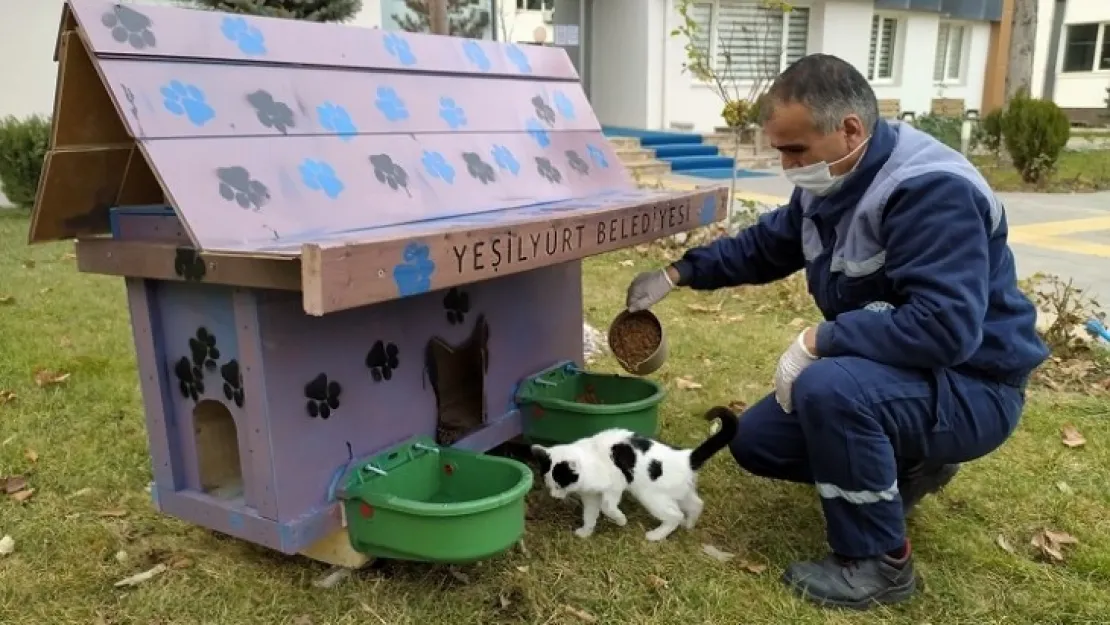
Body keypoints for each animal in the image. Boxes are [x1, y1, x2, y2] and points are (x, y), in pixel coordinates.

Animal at [532, 408, 741, 539]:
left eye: (560, 484)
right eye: (550, 484)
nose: (554, 495)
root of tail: (687, 457)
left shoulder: (615, 484)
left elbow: (607, 506)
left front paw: (620, 520)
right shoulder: (591, 496)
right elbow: (590, 514)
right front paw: (586, 532)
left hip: (651, 496)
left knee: (675, 515)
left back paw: (657, 535)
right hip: (680, 492)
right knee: (696, 504)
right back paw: (689, 525)